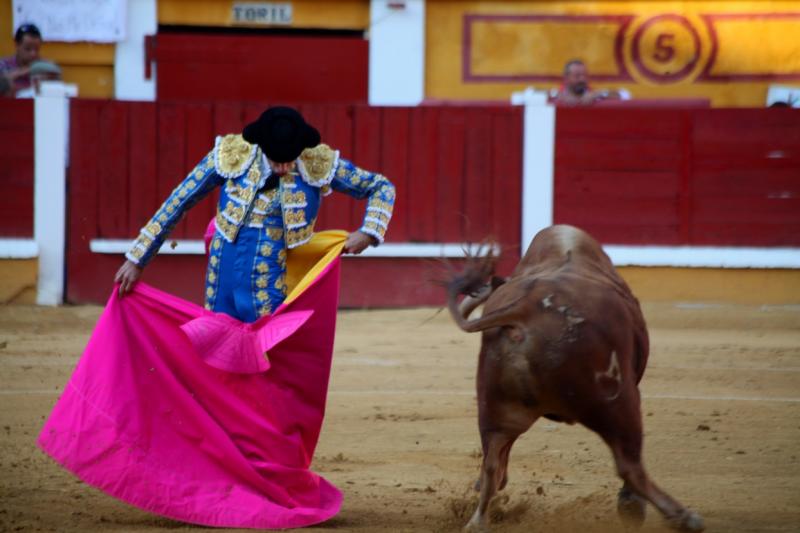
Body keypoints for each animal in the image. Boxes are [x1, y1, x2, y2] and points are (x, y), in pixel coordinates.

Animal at [446, 224, 704, 532]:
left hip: (495, 410)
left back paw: (478, 519)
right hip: (618, 402)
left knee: (492, 462)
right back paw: (679, 516)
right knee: (629, 464)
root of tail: (525, 310)